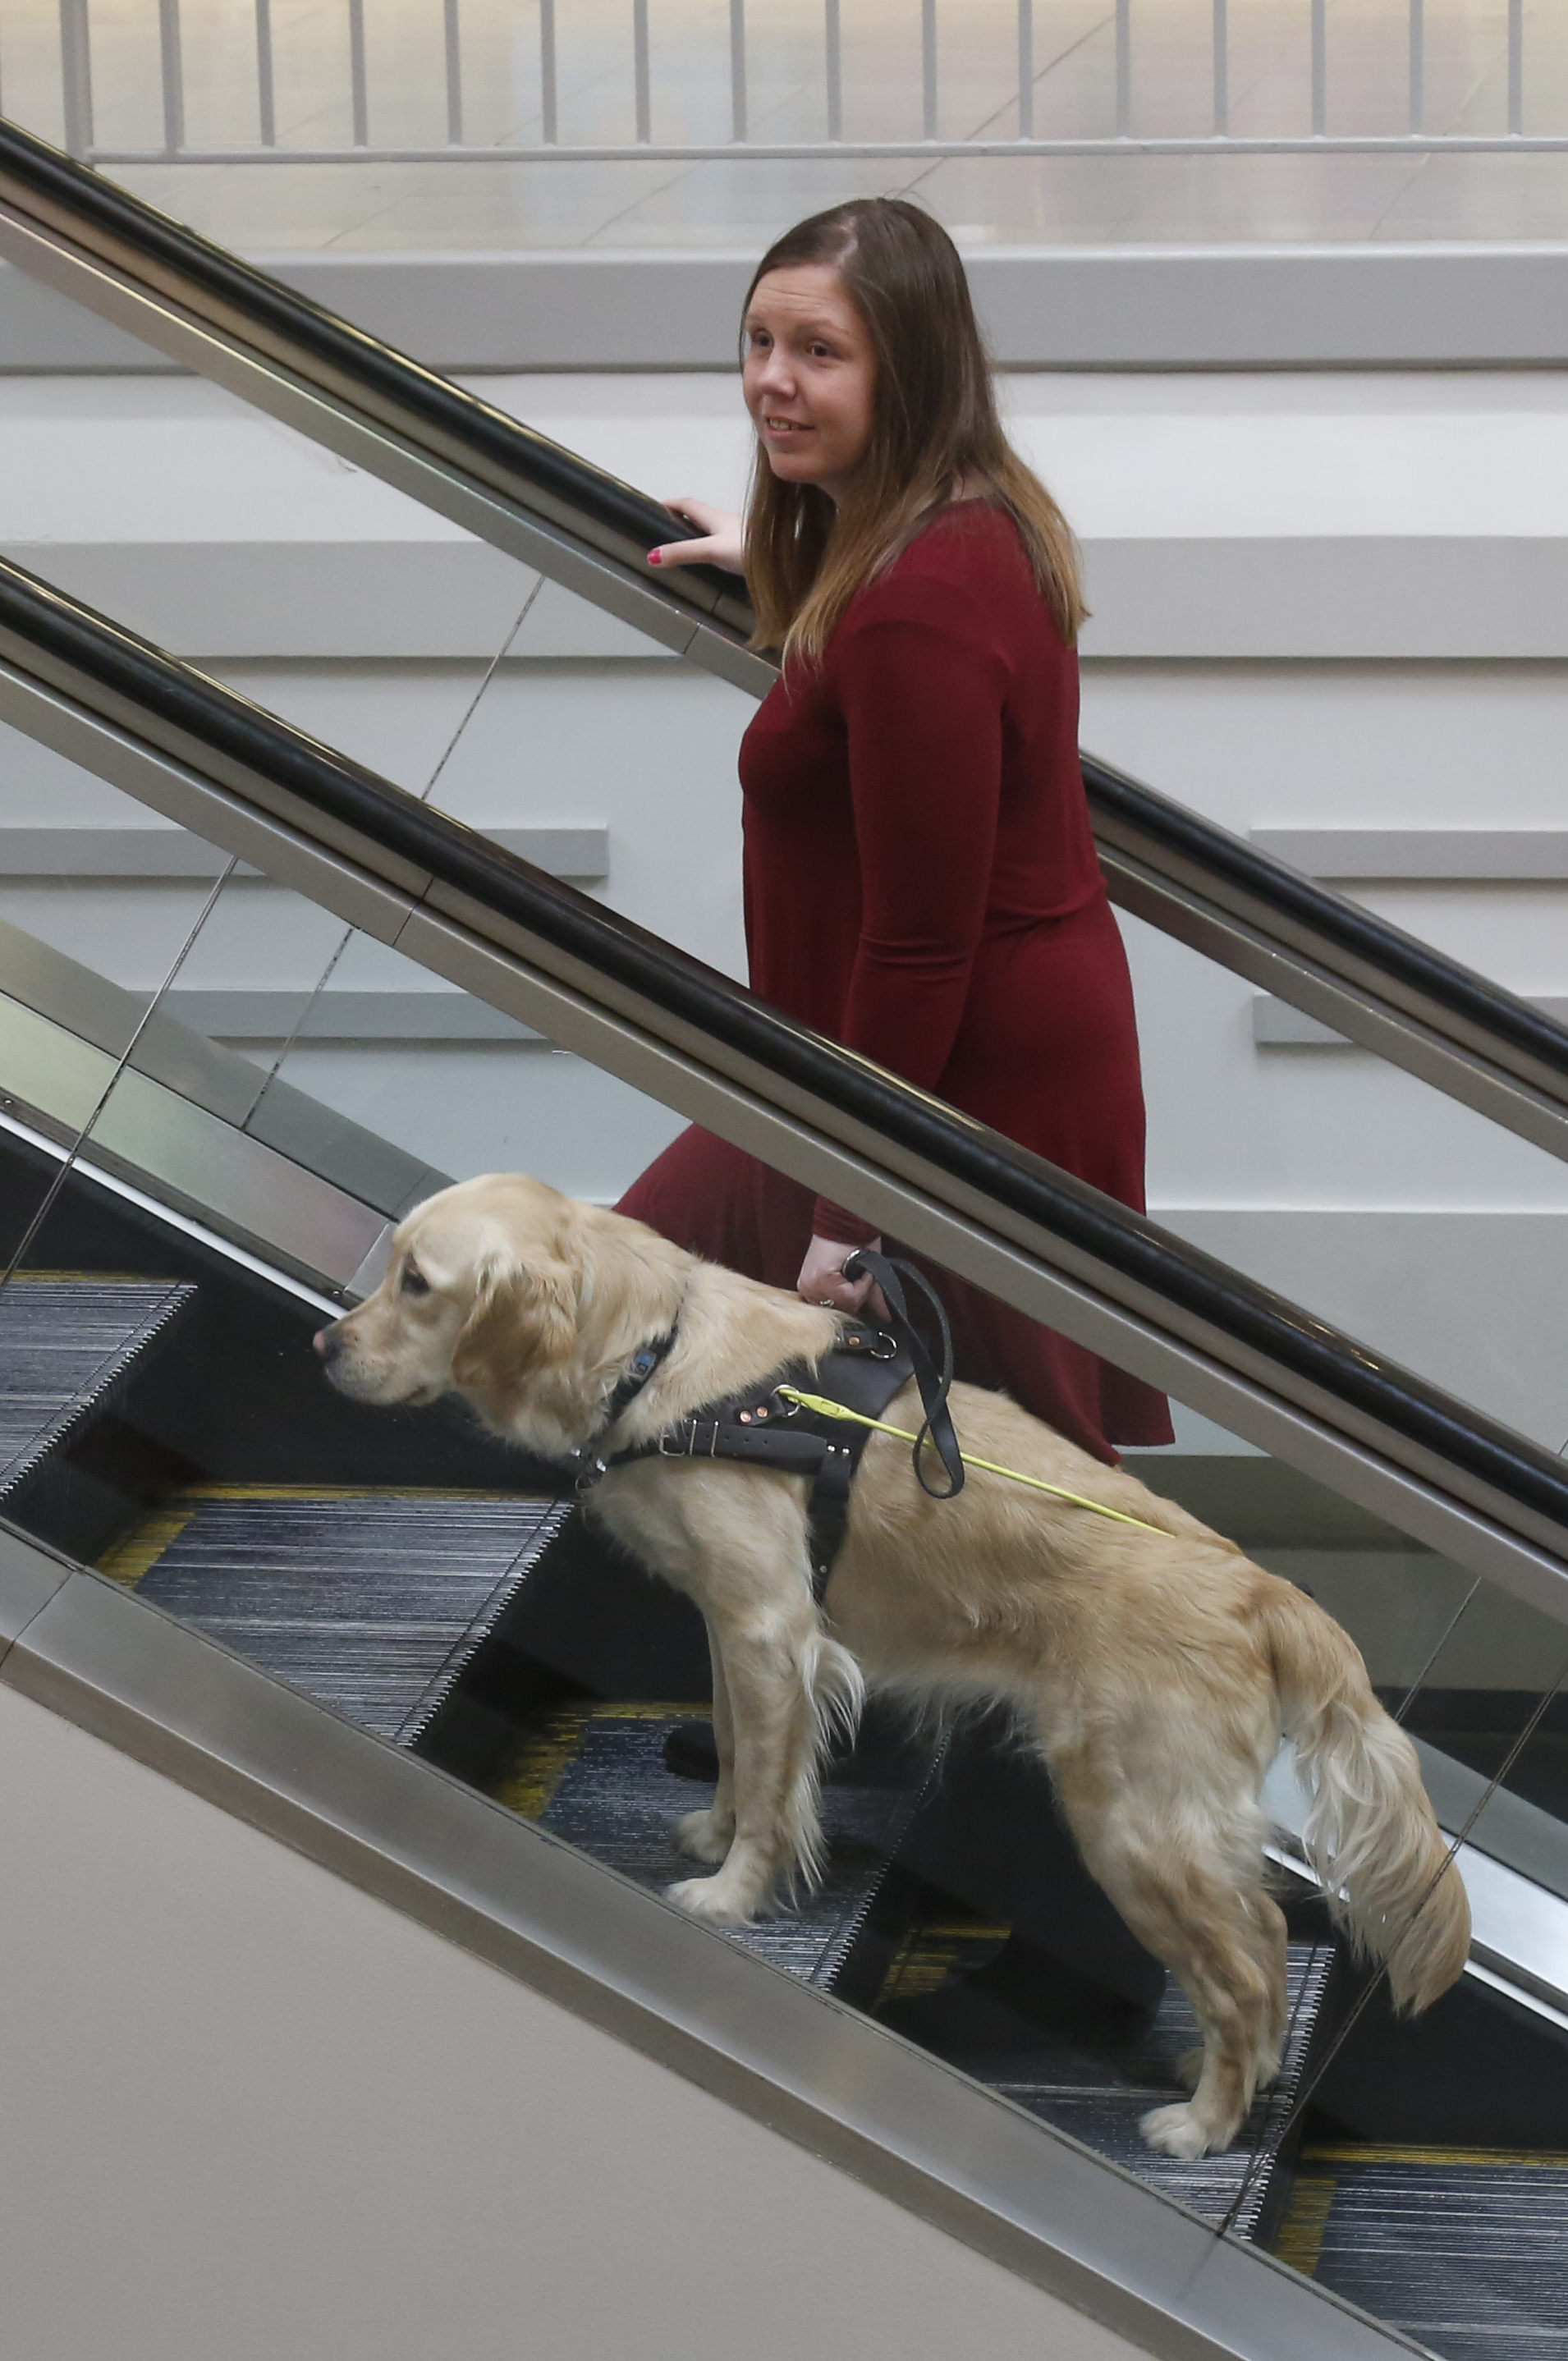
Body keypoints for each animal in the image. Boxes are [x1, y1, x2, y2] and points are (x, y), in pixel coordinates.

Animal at [319, 1166, 1473, 2162]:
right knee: (1261, 1949)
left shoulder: (770, 1623)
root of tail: (1260, 1586)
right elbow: (740, 1747)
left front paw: (732, 1893)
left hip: (1133, 1817)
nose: (325, 1342)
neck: (658, 1354)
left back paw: (1203, 2122)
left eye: (417, 1282)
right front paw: (716, 1830)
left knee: (1249, 1952)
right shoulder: (734, 1623)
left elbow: (774, 1788)